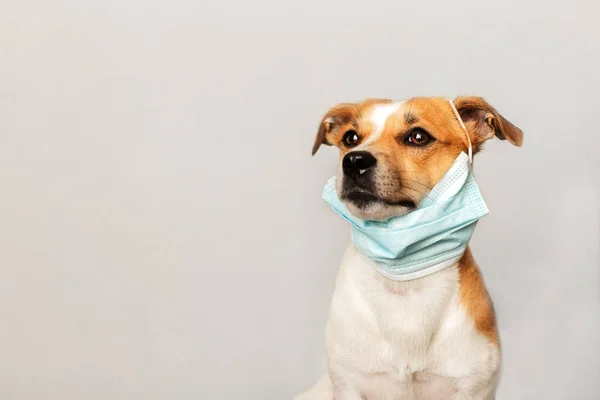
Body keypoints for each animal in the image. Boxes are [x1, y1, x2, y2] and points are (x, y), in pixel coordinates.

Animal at [298, 97, 524, 400]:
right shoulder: (348, 384)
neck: (405, 283)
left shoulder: (474, 387)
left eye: (418, 136)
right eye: (350, 138)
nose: (354, 160)